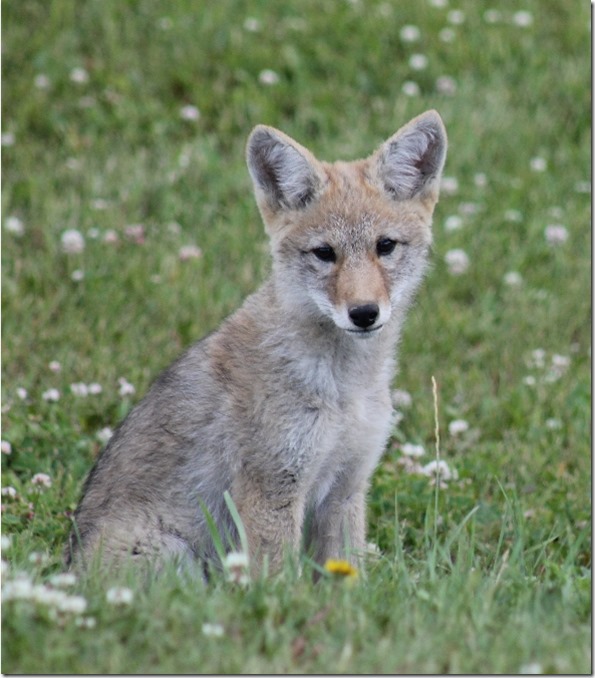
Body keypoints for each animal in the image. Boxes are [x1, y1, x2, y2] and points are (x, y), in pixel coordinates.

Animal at [65, 110, 447, 577]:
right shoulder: (274, 489)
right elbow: (279, 582)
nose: (363, 313)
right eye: (324, 253)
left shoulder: (347, 487)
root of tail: (63, 570)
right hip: (177, 557)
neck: (345, 388)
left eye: (385, 246)